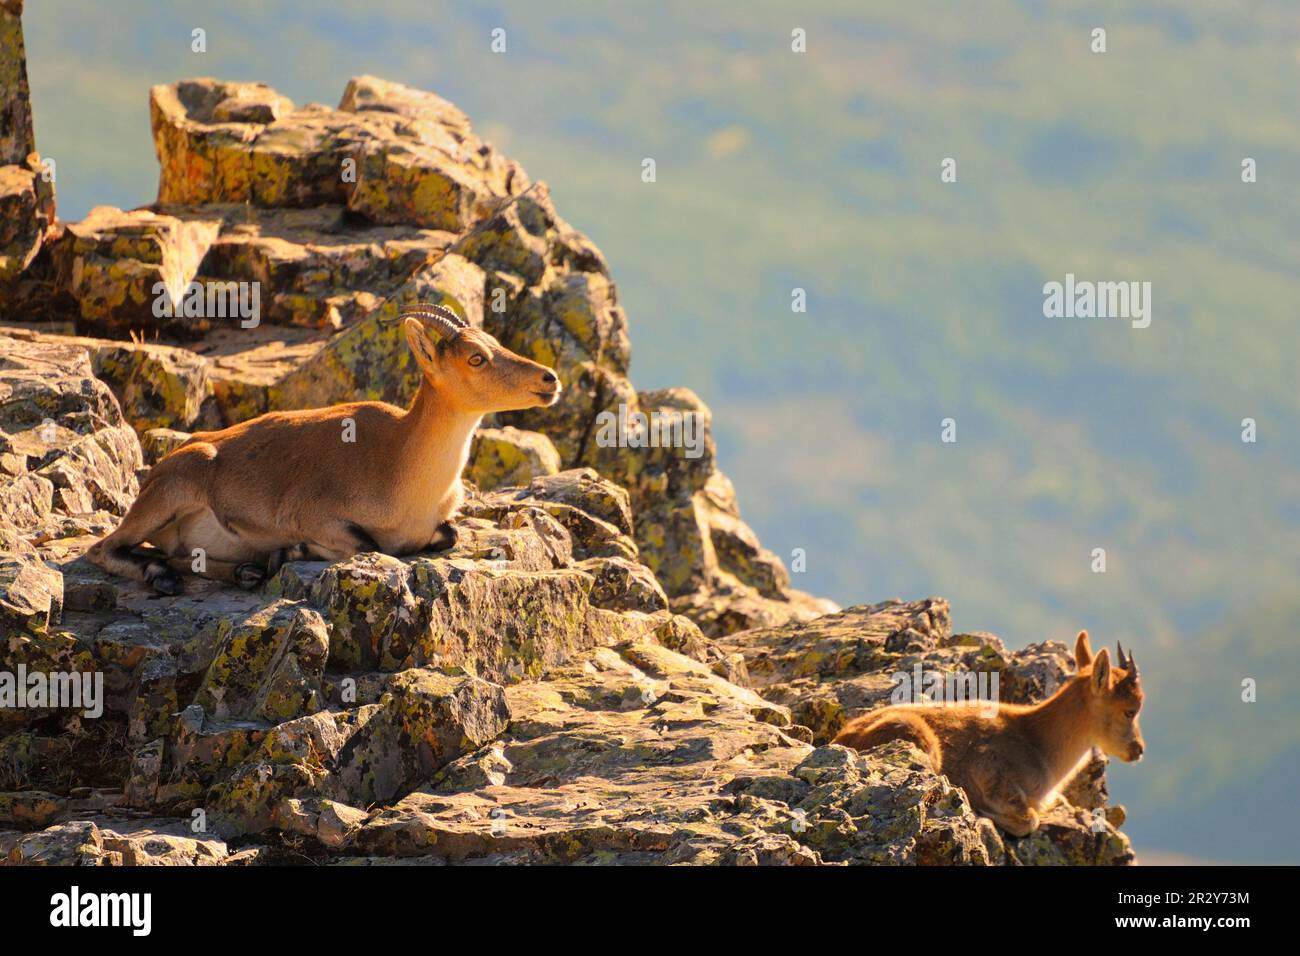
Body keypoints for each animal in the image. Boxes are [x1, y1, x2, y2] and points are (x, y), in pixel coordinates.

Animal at [86, 304, 561, 594]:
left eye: (495, 343)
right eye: (475, 358)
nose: (549, 379)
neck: (404, 467)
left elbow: (449, 534)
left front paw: (283, 555)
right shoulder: (313, 512)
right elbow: (370, 545)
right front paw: (294, 550)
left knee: (180, 556)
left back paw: (244, 570)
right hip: (170, 493)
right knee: (104, 549)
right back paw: (163, 576)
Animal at [832, 631, 1144, 836]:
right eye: (1130, 710)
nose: (1138, 749)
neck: (1037, 742)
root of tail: (842, 739)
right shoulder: (991, 773)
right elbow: (1029, 820)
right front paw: (983, 811)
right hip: (916, 733)